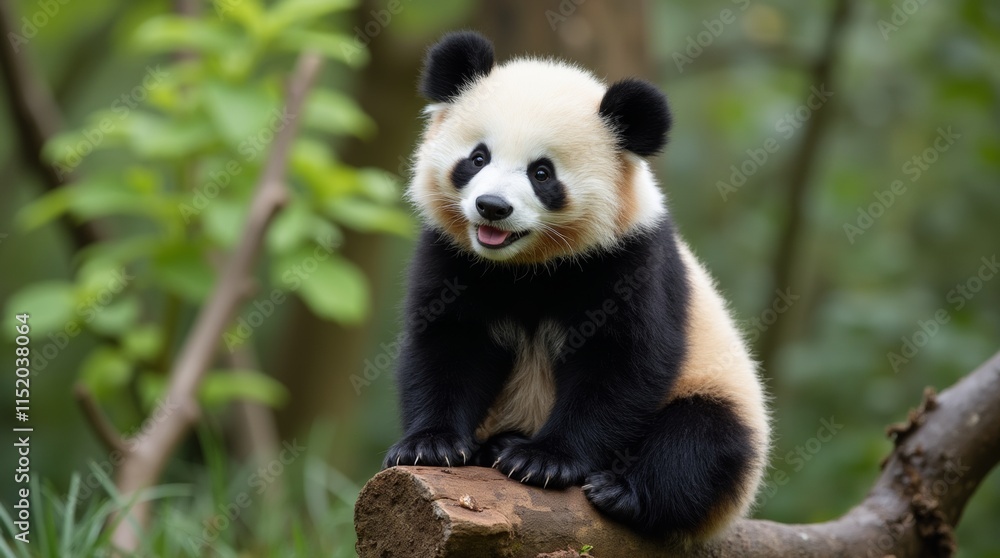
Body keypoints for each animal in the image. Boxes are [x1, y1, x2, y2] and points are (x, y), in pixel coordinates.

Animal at [383, 31, 770, 540]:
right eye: (478, 157)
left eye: (542, 173)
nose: (492, 207)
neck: (526, 264)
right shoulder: (453, 256)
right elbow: (448, 343)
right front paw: (430, 445)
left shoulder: (630, 260)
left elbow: (621, 362)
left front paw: (544, 461)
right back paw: (497, 446)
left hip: (722, 390)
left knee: (701, 440)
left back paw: (624, 492)